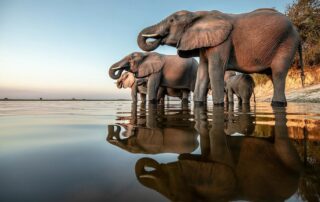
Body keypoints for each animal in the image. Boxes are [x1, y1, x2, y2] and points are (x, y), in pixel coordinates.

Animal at [137, 8, 304, 105]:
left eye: (172, 20)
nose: (158, 39)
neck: (197, 14)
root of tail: (297, 31)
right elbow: (203, 73)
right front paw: (198, 104)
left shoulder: (222, 42)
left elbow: (214, 70)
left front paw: (218, 105)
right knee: (272, 75)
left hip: (286, 43)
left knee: (278, 73)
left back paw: (277, 104)